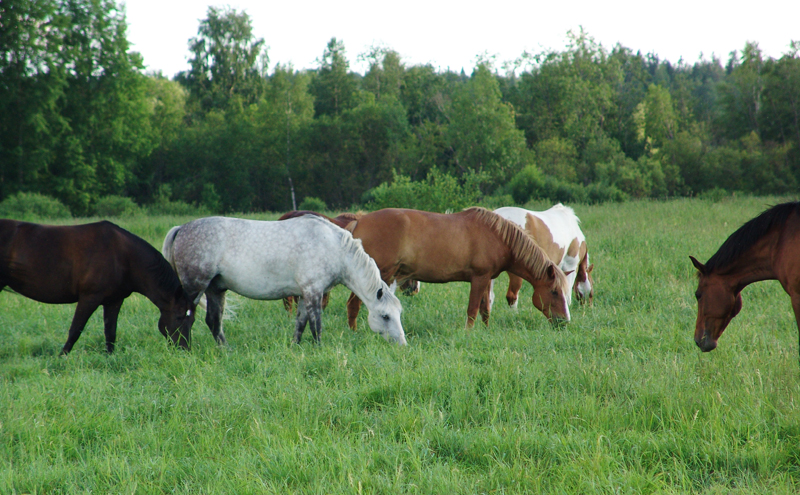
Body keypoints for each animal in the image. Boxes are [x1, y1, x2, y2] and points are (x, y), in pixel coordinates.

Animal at [0, 219, 194, 354]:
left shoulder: (114, 301)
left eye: (191, 320)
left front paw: (110, 357)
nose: (185, 349)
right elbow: (75, 330)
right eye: (179, 317)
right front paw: (62, 357)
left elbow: (110, 332)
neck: (123, 257)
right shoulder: (89, 298)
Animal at [162, 214, 406, 345]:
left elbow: (301, 324)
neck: (332, 246)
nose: (402, 344)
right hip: (195, 288)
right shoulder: (313, 292)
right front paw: (318, 349)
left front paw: (295, 347)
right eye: (385, 316)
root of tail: (182, 228)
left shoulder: (305, 294)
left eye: (398, 314)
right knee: (183, 318)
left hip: (216, 290)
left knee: (213, 322)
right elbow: (316, 325)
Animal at [345, 207, 571, 329]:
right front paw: (469, 333)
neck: (497, 236)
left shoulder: (487, 278)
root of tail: (360, 221)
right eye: (554, 291)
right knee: (354, 304)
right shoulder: (479, 278)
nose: (564, 321)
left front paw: (486, 331)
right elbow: (473, 309)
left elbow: (485, 309)